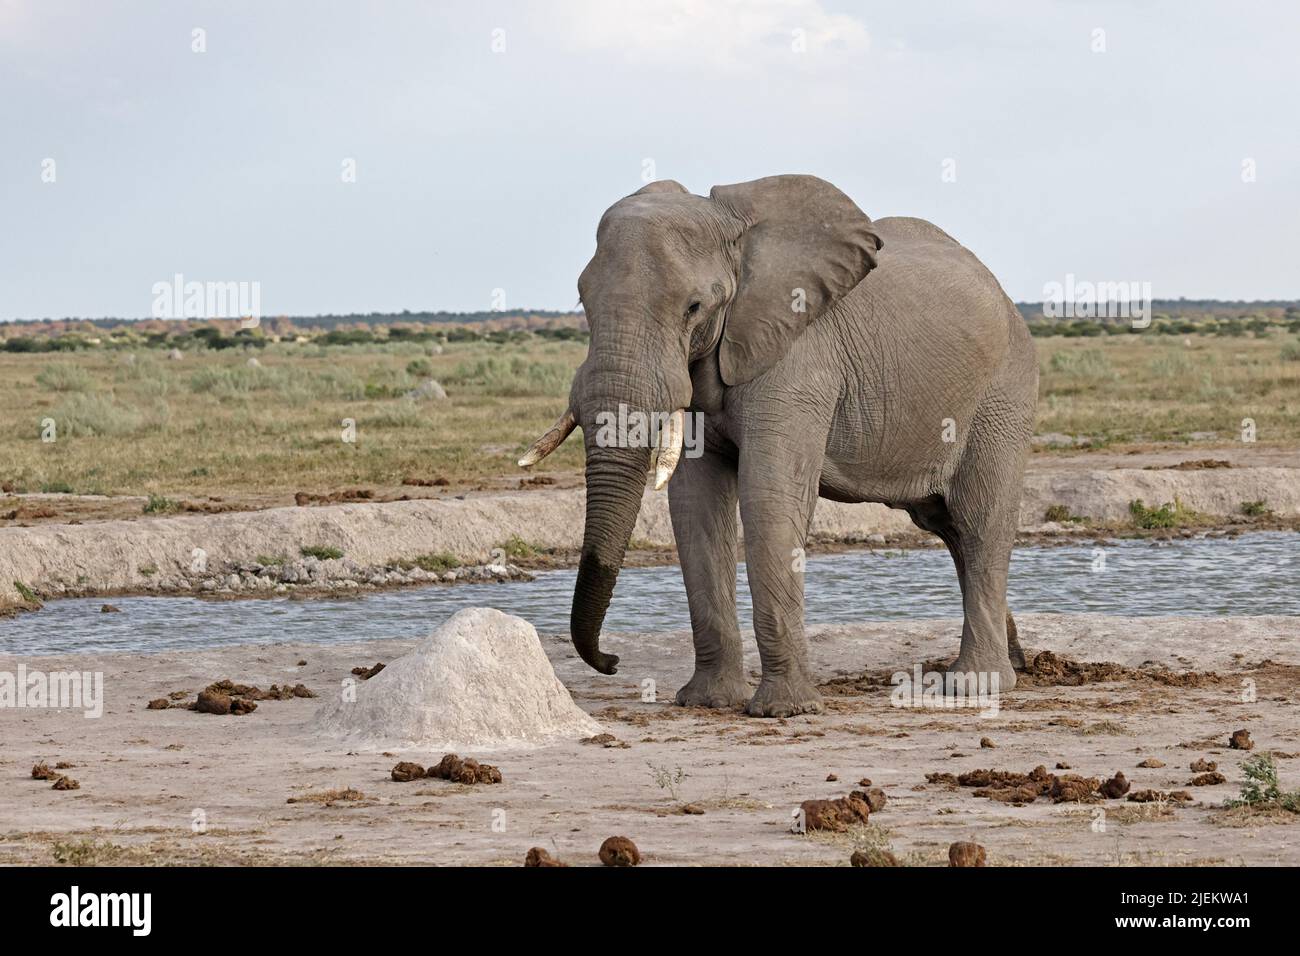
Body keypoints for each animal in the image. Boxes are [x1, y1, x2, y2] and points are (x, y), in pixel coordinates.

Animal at [517, 175, 1034, 717]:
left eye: (693, 307)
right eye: (583, 302)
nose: (612, 661)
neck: (732, 228)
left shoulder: (799, 356)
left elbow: (768, 495)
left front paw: (783, 710)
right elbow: (696, 505)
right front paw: (706, 702)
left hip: (1002, 396)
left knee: (979, 523)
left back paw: (976, 684)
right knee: (947, 528)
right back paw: (1017, 662)